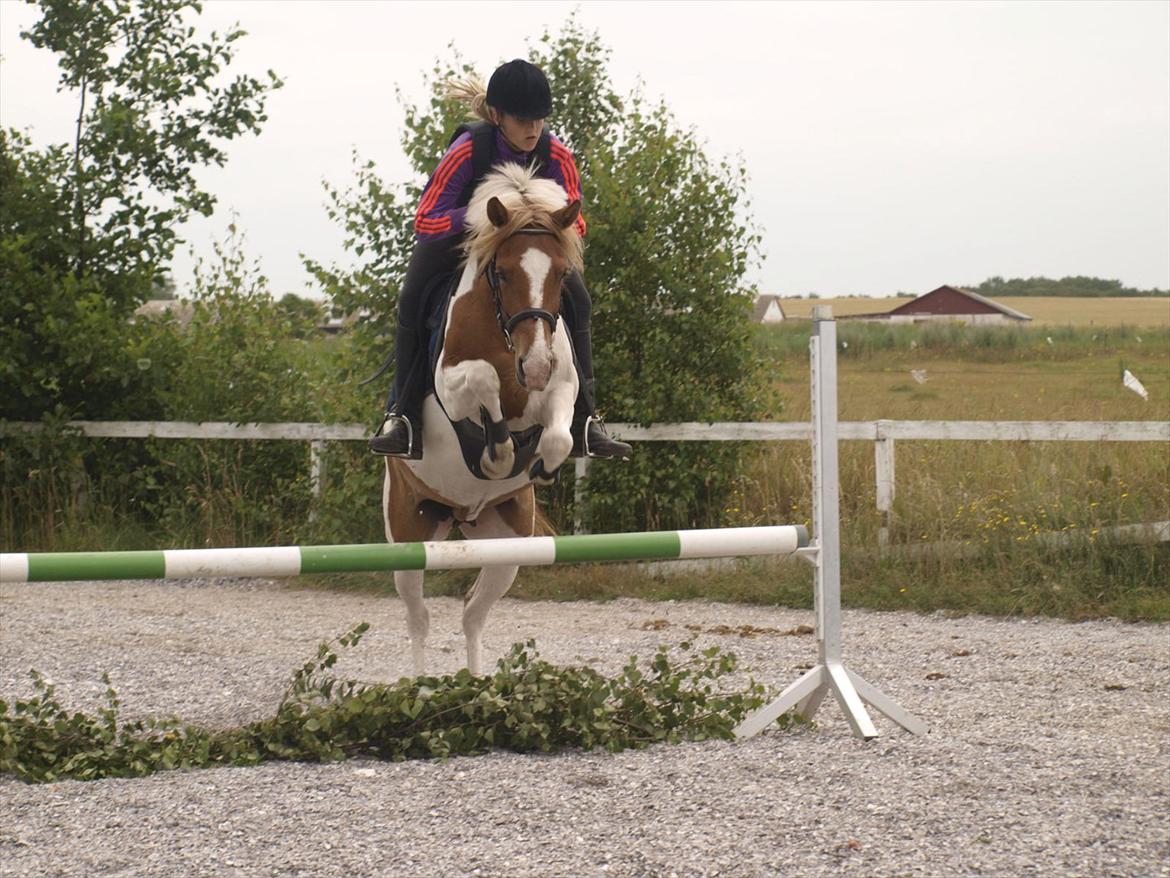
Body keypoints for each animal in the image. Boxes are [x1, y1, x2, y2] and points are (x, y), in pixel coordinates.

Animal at [383, 161, 585, 678]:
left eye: (561, 274)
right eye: (504, 272)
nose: (536, 366)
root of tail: (461, 516)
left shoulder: (562, 389)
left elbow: (557, 435)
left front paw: (541, 465)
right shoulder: (453, 389)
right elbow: (484, 380)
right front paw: (497, 452)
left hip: (506, 544)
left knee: (473, 612)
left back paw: (477, 686)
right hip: (409, 533)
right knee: (418, 617)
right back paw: (418, 685)